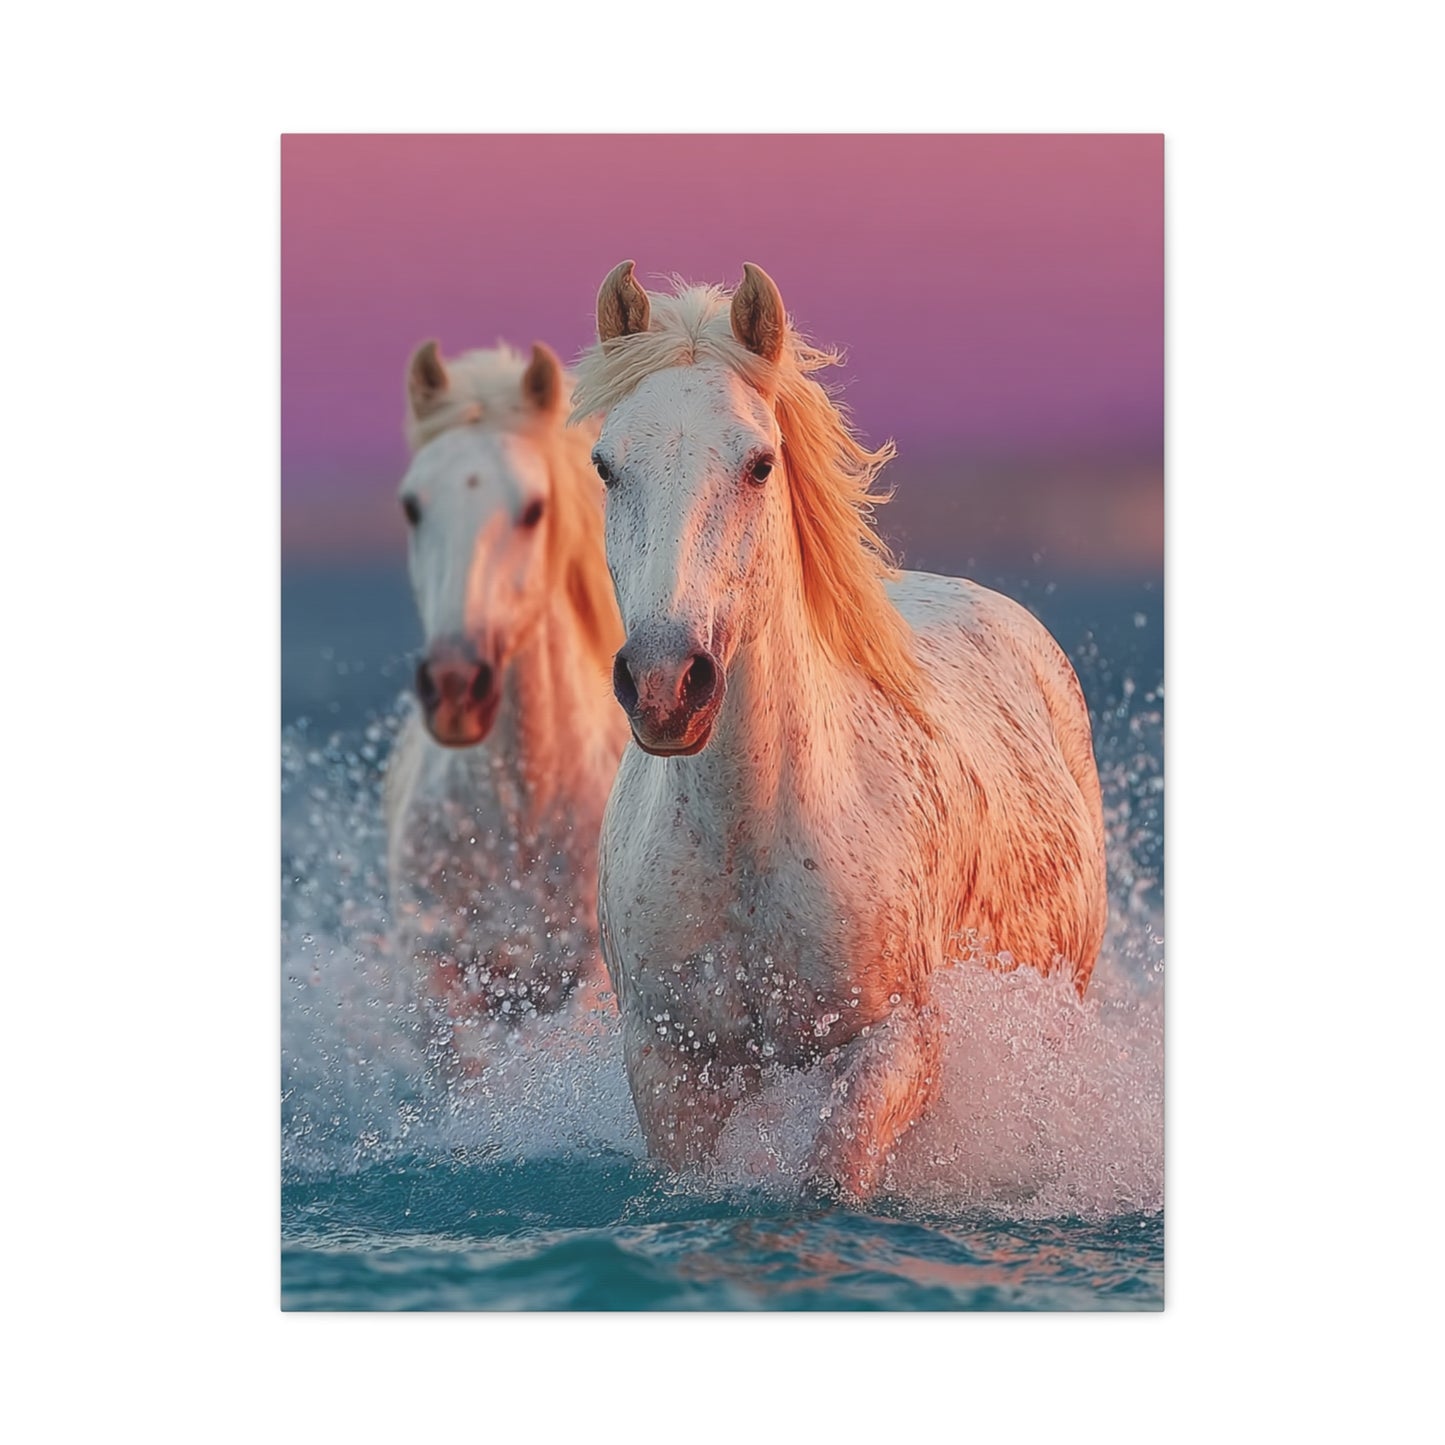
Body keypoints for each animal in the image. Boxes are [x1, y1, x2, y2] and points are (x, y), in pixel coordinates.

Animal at [383, 338, 628, 1079]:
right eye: (412, 506)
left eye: (533, 509)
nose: (456, 686)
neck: (520, 817)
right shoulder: (434, 970)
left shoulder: (595, 976)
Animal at [571, 262, 1107, 1198]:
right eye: (606, 465)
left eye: (757, 463)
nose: (666, 686)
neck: (749, 837)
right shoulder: (669, 1065)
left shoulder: (900, 1045)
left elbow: (834, 1171)